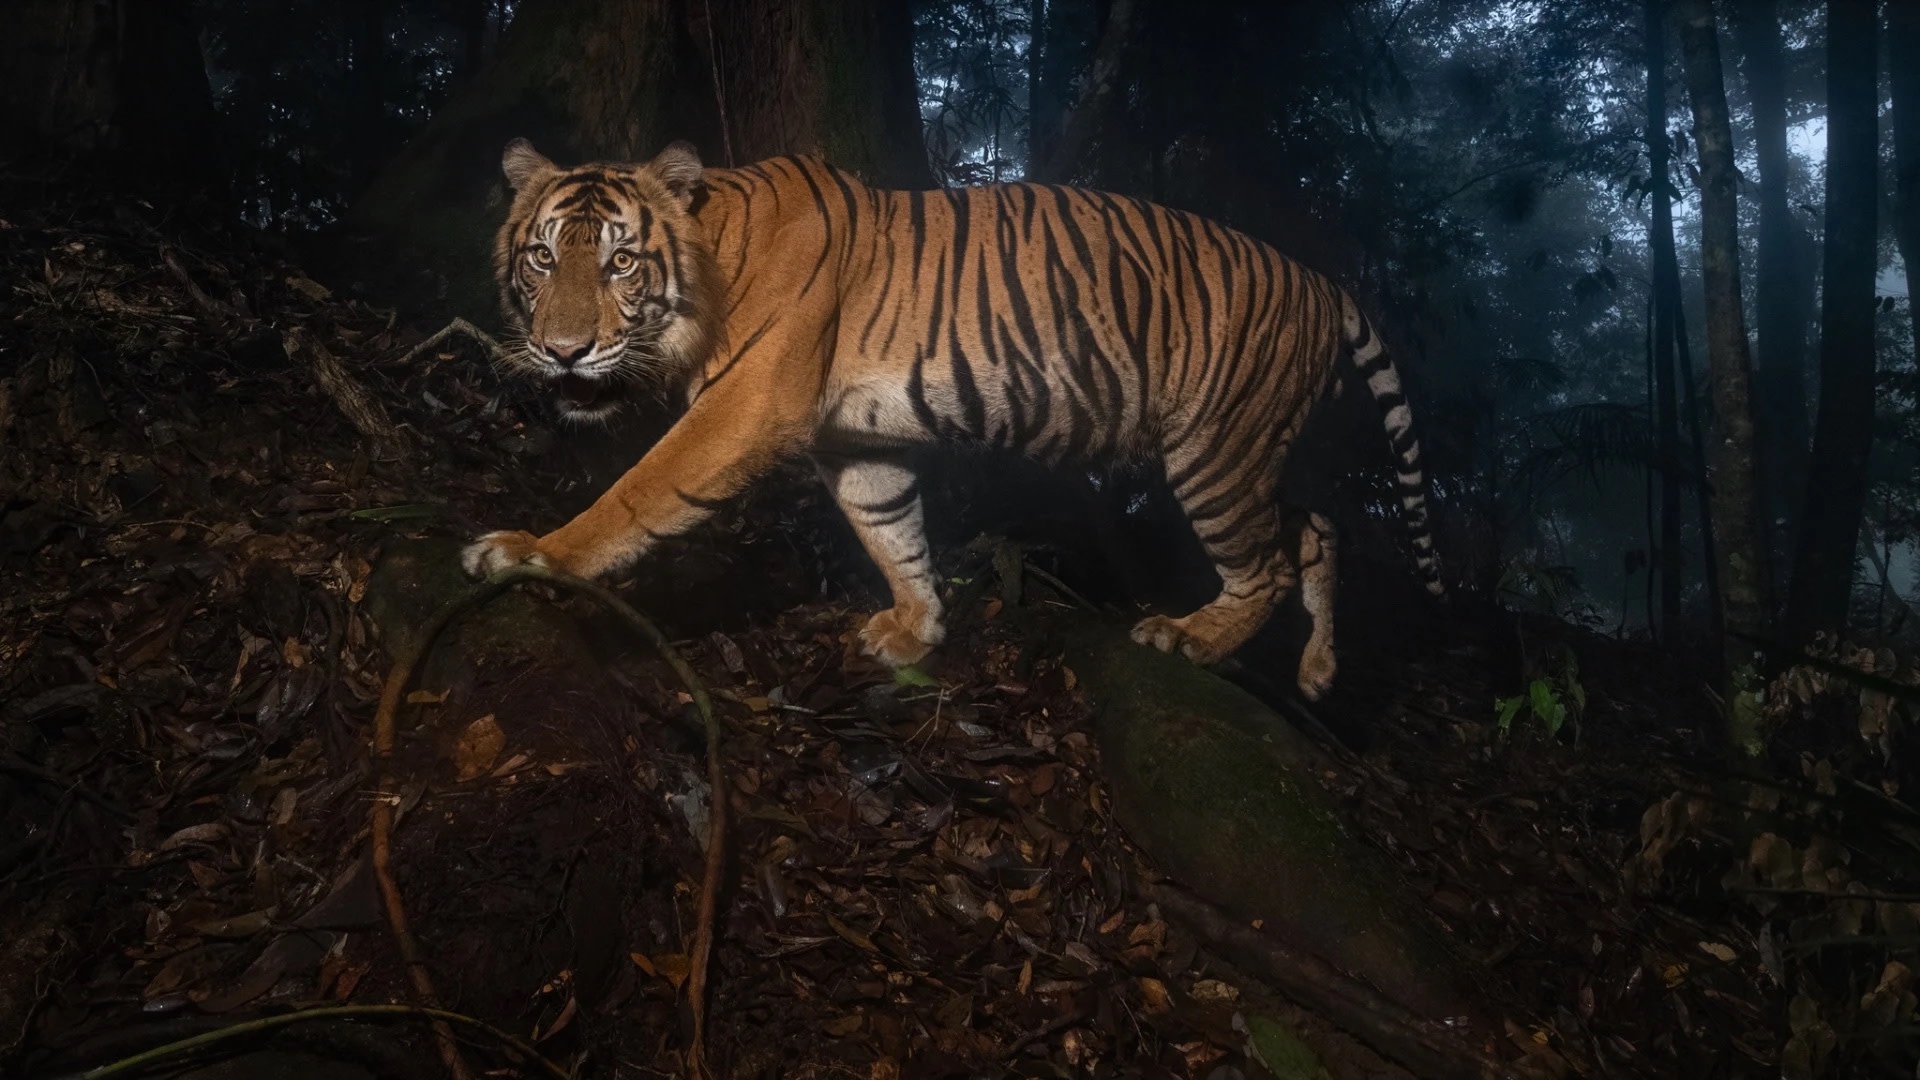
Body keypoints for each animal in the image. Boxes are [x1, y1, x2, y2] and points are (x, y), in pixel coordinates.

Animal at [460, 138, 1443, 700]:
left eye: (620, 262)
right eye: (542, 257)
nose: (562, 352)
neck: (715, 259)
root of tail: (1322, 282)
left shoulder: (742, 407)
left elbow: (640, 492)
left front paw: (531, 553)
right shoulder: (856, 442)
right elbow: (892, 531)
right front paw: (918, 628)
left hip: (1216, 450)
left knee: (1269, 562)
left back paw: (1189, 635)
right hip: (1249, 451)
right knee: (1317, 527)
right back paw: (1318, 672)